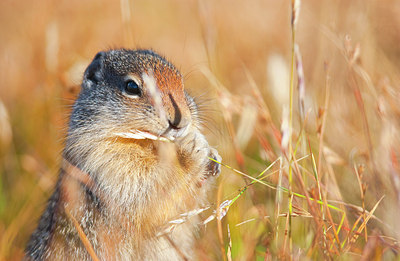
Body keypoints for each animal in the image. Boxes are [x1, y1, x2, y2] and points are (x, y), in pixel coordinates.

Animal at [25, 48, 222, 258]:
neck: (151, 145)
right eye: (132, 87)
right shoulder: (107, 164)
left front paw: (213, 158)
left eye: (182, 83)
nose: (181, 121)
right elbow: (149, 192)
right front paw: (192, 149)